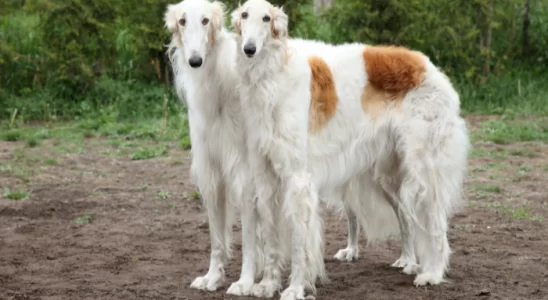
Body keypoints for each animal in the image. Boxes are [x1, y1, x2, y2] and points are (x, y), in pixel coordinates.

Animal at [163, 0, 262, 292]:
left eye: (206, 20)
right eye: (182, 21)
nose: (195, 61)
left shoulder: (245, 174)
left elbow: (250, 239)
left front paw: (245, 281)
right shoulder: (212, 171)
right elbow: (217, 237)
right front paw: (212, 276)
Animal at [233, 0, 468, 298]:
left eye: (266, 18)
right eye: (243, 15)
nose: (249, 49)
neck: (272, 76)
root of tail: (430, 66)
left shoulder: (298, 179)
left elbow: (299, 242)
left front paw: (295, 288)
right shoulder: (265, 177)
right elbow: (271, 238)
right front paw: (267, 285)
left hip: (423, 170)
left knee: (436, 224)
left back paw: (433, 274)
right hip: (387, 174)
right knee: (405, 215)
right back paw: (408, 261)